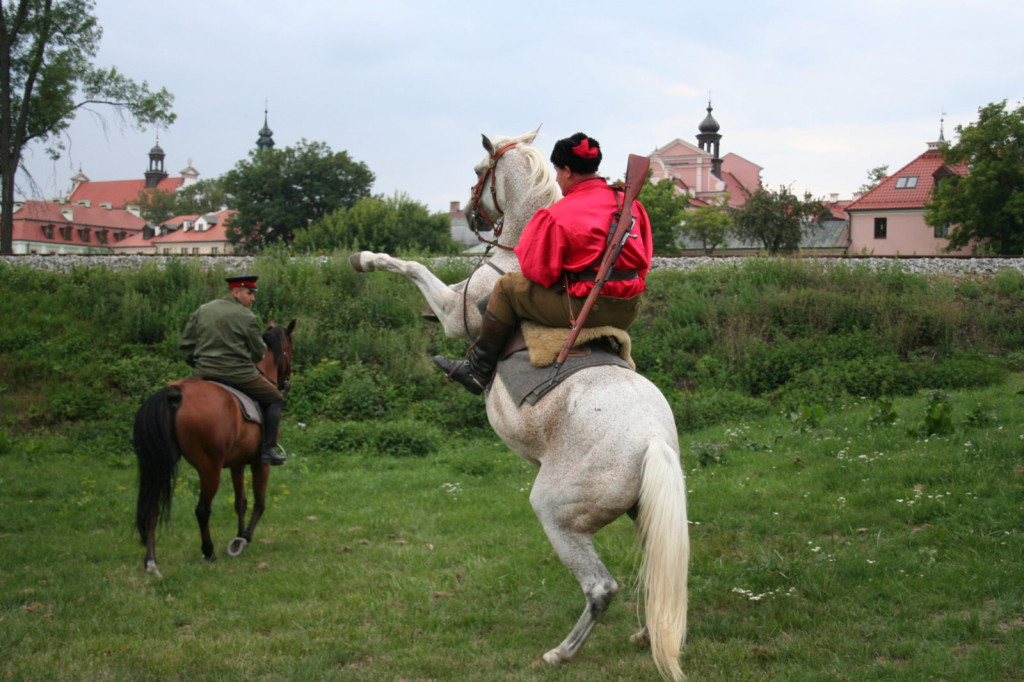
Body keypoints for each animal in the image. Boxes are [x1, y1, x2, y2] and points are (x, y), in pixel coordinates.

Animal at [134, 319, 294, 573]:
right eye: (291, 348)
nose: (286, 384)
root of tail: (175, 392)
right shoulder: (259, 463)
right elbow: (259, 503)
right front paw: (244, 539)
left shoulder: (238, 464)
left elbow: (240, 502)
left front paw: (238, 537)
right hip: (210, 467)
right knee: (202, 509)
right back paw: (208, 551)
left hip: (158, 465)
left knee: (152, 508)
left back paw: (151, 561)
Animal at [348, 129, 692, 679]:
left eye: (477, 171)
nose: (472, 217)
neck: (510, 256)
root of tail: (653, 440)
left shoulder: (456, 313)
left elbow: (413, 267)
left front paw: (365, 258)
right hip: (646, 513)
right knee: (657, 566)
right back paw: (647, 633)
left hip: (557, 513)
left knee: (601, 588)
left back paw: (562, 651)